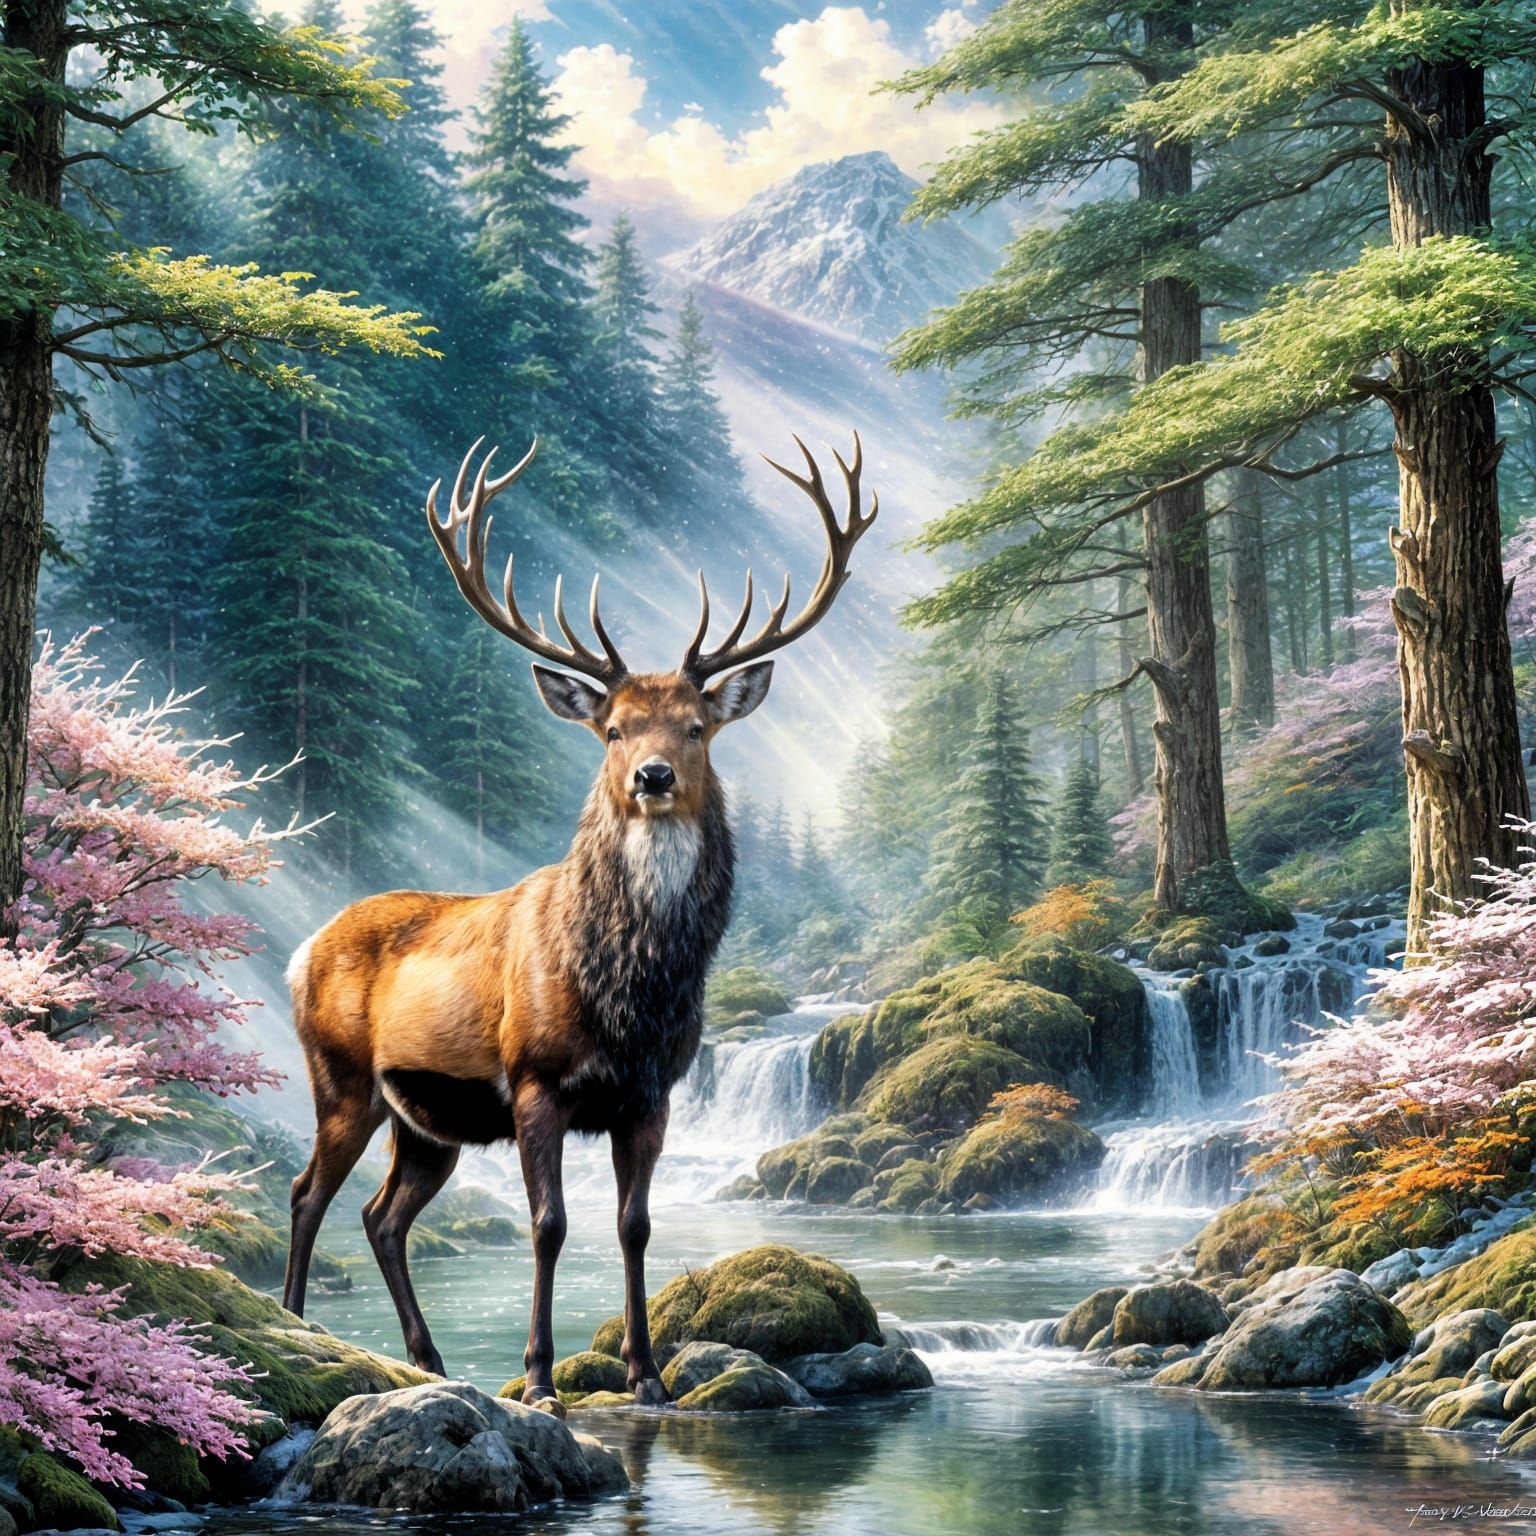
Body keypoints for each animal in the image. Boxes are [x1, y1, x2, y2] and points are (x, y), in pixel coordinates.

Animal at [280, 430, 876, 1409]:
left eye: (696, 726)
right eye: (614, 729)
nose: (653, 776)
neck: (631, 988)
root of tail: (300, 952)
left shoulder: (652, 1092)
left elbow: (635, 1224)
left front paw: (647, 1375)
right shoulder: (536, 1080)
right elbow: (550, 1224)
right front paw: (539, 1378)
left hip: (425, 1120)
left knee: (381, 1215)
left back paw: (428, 1359)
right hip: (342, 1078)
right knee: (306, 1196)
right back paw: (296, 1326)